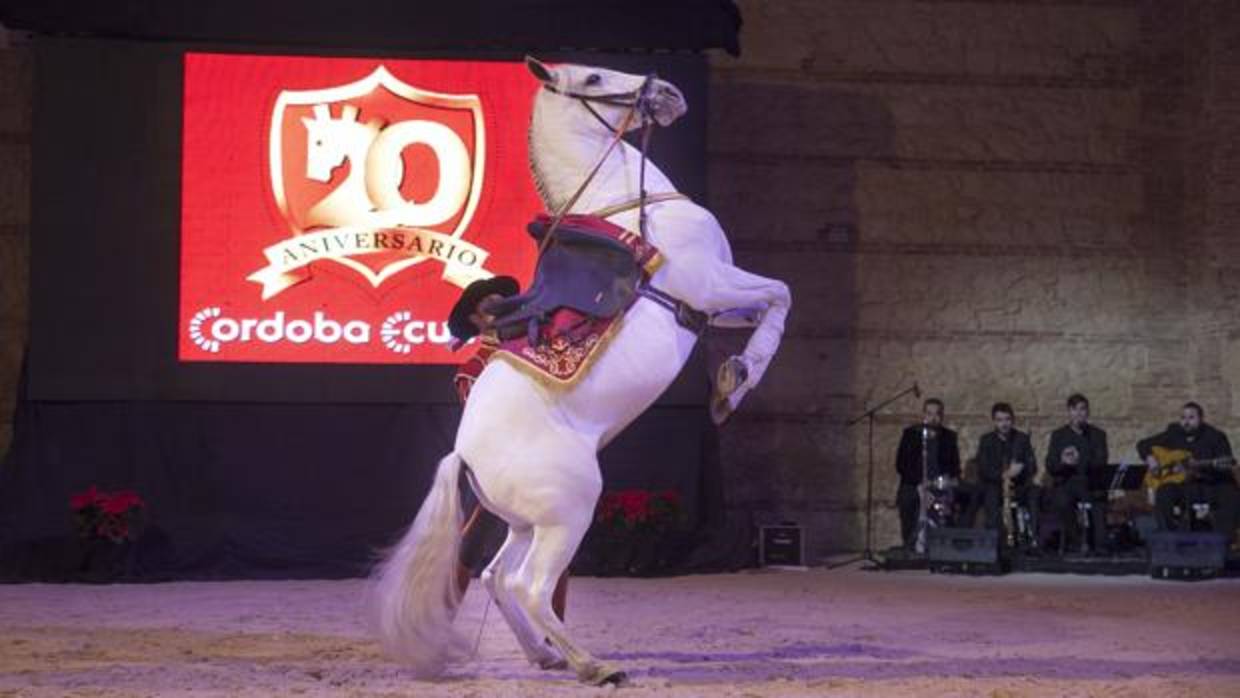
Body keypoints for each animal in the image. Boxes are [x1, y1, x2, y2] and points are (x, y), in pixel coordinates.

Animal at [369, 57, 793, 684]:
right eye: (592, 78)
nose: (668, 93)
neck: (637, 212)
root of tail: (464, 455)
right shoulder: (713, 284)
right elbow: (781, 294)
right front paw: (735, 383)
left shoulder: (715, 304)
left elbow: (769, 306)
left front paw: (731, 378)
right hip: (568, 513)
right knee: (528, 585)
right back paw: (593, 665)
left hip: (528, 523)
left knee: (498, 577)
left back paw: (545, 655)